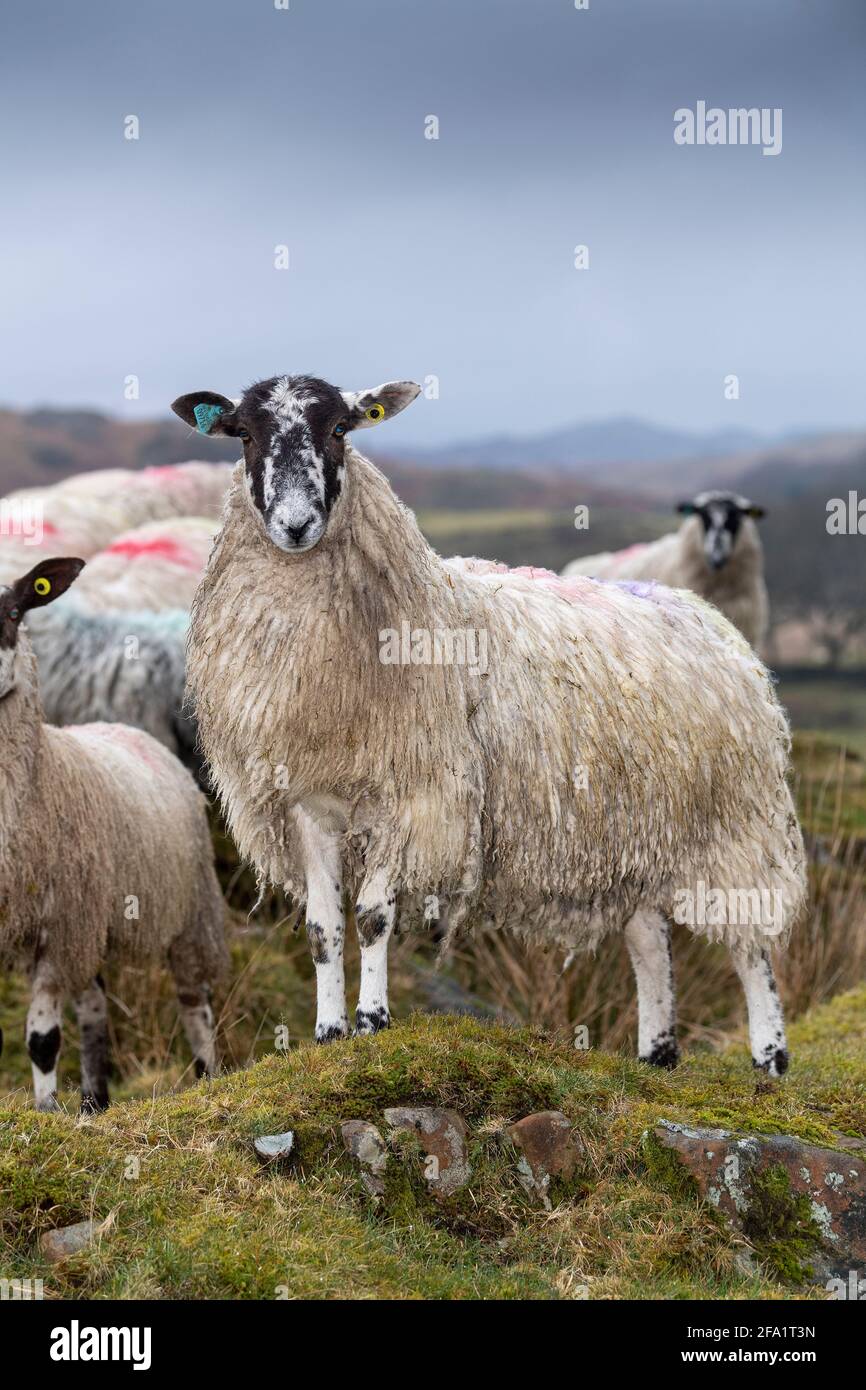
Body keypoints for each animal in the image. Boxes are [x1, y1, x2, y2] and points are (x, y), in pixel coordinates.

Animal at [0, 553, 226, 1106]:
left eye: (15, 612)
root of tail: (124, 728)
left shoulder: (58, 926)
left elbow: (42, 1040)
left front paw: (45, 1112)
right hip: (95, 919)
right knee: (95, 1006)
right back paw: (93, 1103)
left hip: (189, 910)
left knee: (195, 1003)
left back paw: (208, 1077)